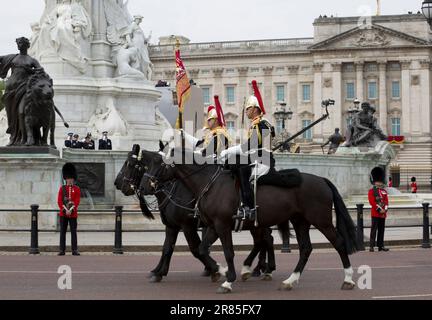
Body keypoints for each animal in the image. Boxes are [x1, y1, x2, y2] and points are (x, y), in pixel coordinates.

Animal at [115, 145, 276, 282]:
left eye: (129, 164)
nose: (118, 183)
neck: (172, 190)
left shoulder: (187, 226)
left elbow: (195, 249)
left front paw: (215, 270)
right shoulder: (172, 226)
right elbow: (167, 248)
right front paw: (158, 272)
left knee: (264, 240)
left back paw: (261, 268)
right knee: (264, 240)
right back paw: (260, 268)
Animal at [140, 149, 360, 294]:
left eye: (159, 164)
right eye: (145, 165)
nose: (143, 187)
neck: (210, 184)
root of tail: (322, 179)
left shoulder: (221, 225)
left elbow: (227, 251)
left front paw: (227, 280)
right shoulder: (211, 225)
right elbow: (201, 249)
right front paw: (221, 270)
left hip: (321, 221)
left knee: (339, 243)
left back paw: (348, 279)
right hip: (299, 222)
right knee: (304, 248)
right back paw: (289, 280)